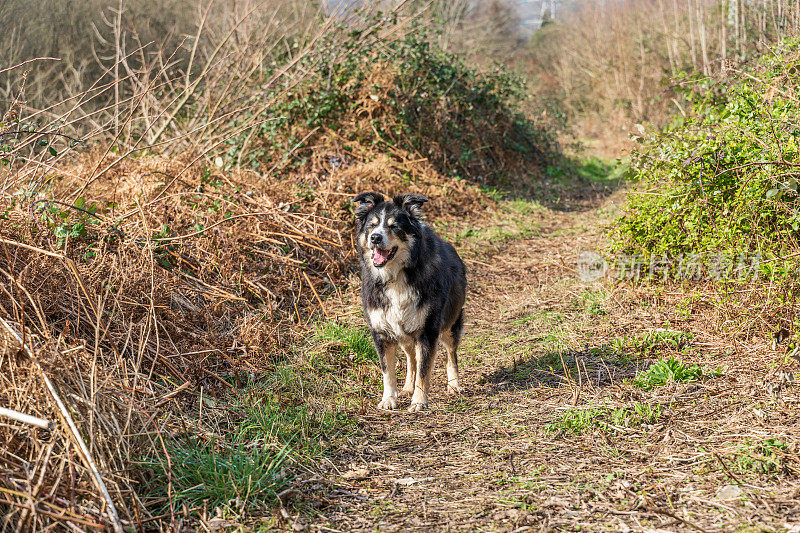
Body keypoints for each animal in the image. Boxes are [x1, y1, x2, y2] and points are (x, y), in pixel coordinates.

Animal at [354, 191, 466, 412]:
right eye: (372, 225)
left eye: (394, 226)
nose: (375, 238)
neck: (396, 276)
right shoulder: (382, 332)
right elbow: (388, 371)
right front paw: (389, 399)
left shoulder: (427, 331)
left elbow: (424, 369)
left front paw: (419, 401)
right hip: (403, 331)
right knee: (411, 357)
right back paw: (408, 386)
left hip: (450, 323)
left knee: (451, 354)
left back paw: (453, 385)